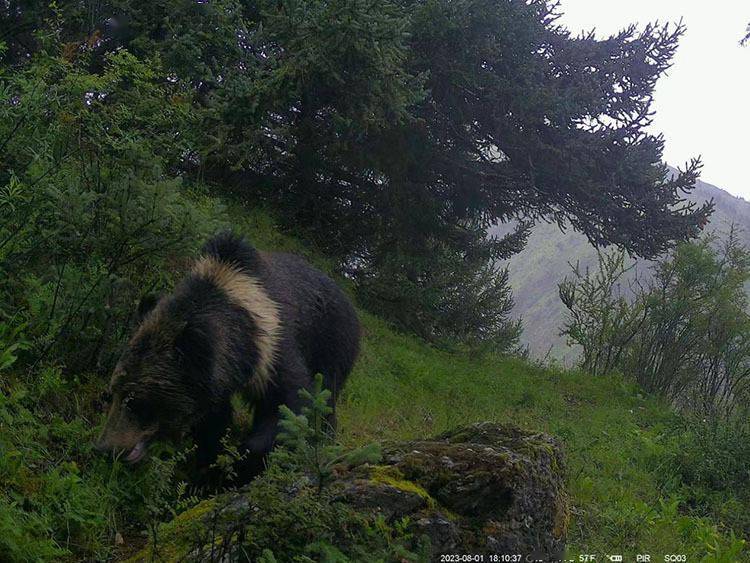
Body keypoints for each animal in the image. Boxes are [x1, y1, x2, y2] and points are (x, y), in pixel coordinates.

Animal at [95, 231, 360, 481]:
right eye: (111, 393)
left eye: (136, 401)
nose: (106, 448)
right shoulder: (213, 381)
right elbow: (213, 421)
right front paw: (209, 460)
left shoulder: (274, 350)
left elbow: (291, 406)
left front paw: (239, 462)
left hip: (332, 345)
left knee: (326, 395)